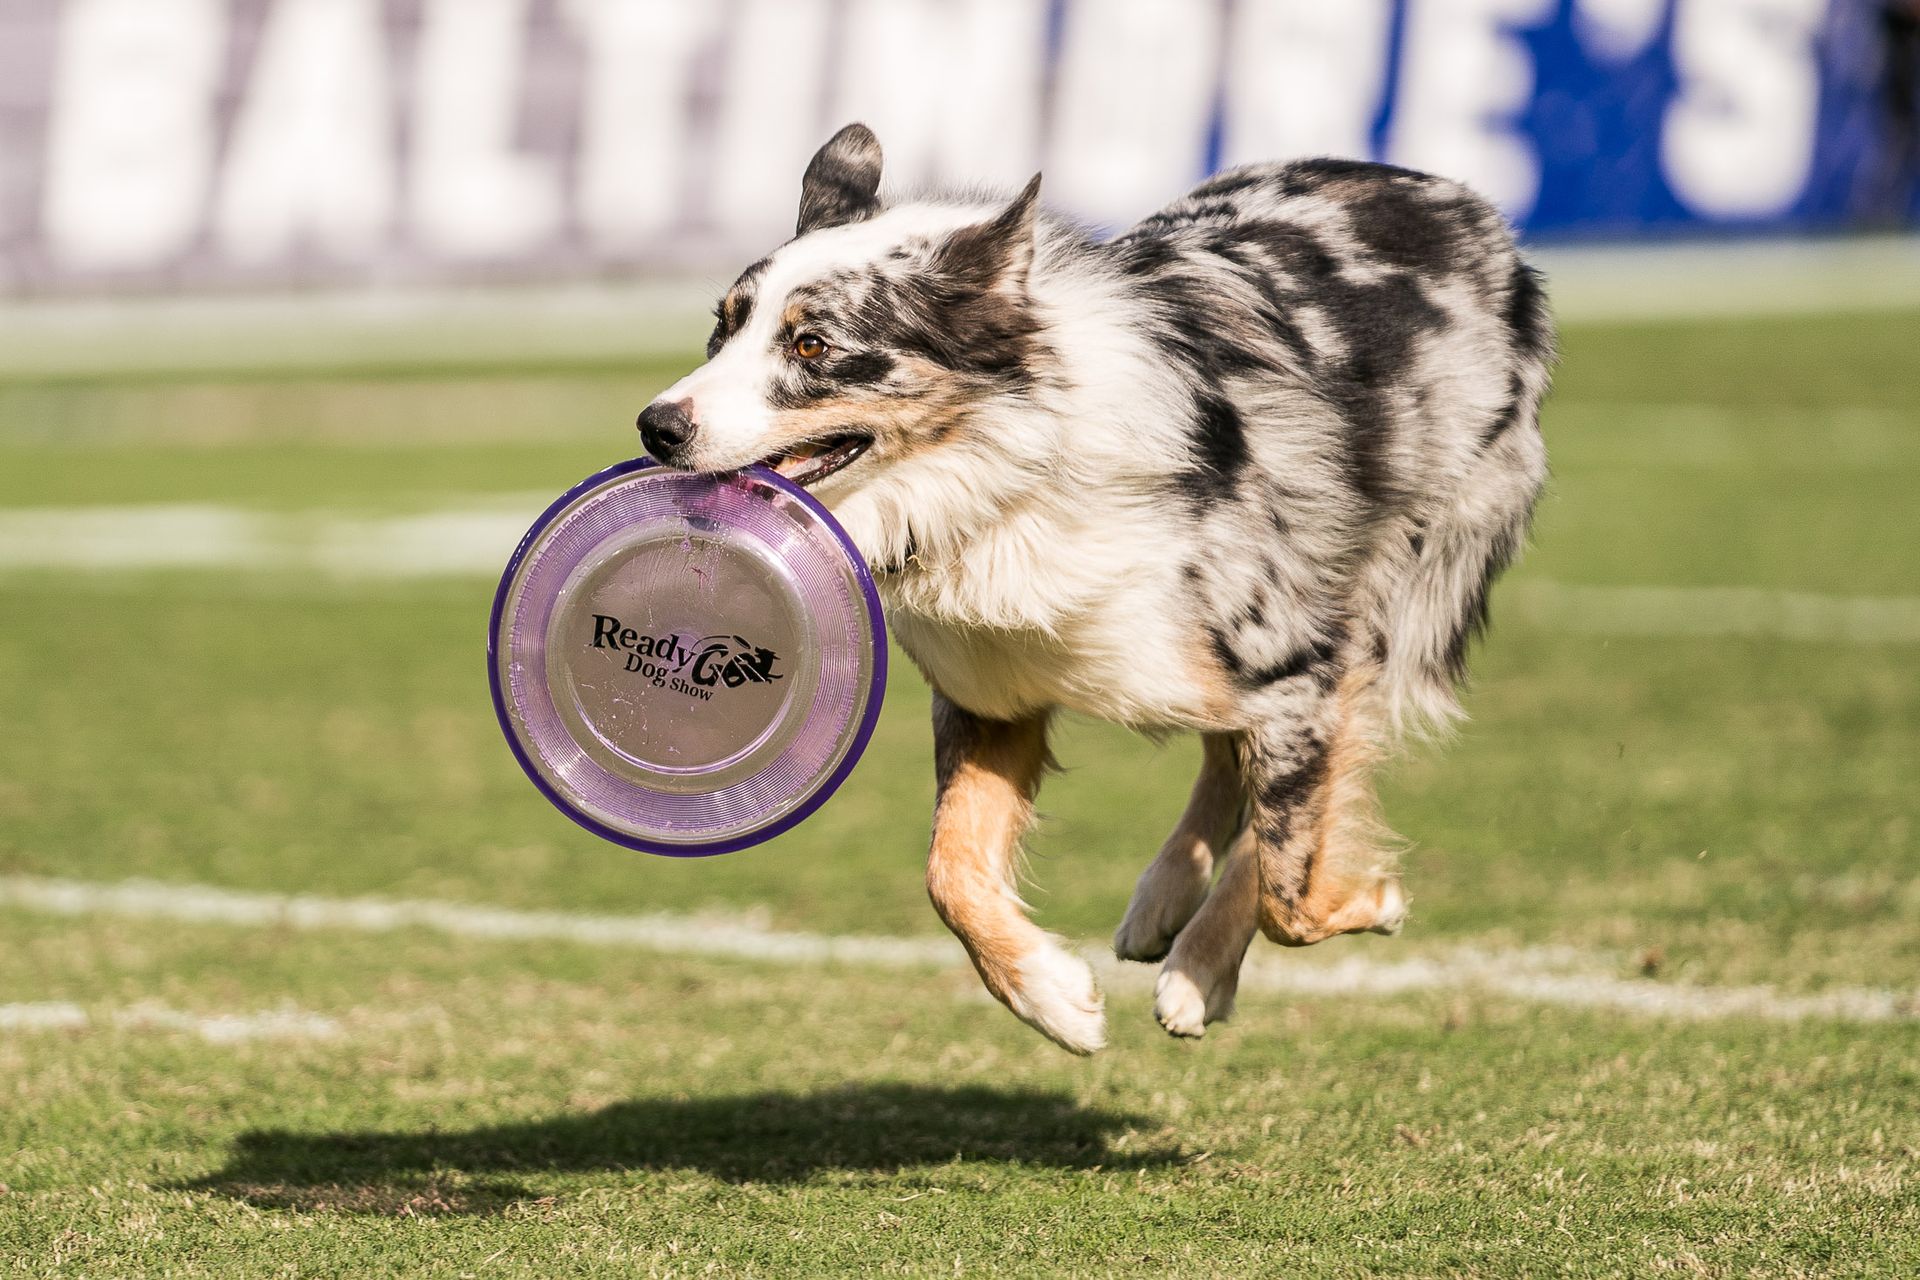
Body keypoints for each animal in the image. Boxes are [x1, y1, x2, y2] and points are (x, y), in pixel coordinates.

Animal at [637, 124, 1551, 1059]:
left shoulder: (1298, 663)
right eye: (721, 329)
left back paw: (1198, 962)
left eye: (812, 345)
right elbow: (948, 871)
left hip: (1389, 581)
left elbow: (1292, 885)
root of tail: (1455, 197)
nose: (656, 427)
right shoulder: (991, 692)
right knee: (1225, 752)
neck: (1014, 470)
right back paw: (1164, 902)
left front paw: (1374, 900)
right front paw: (1050, 996)